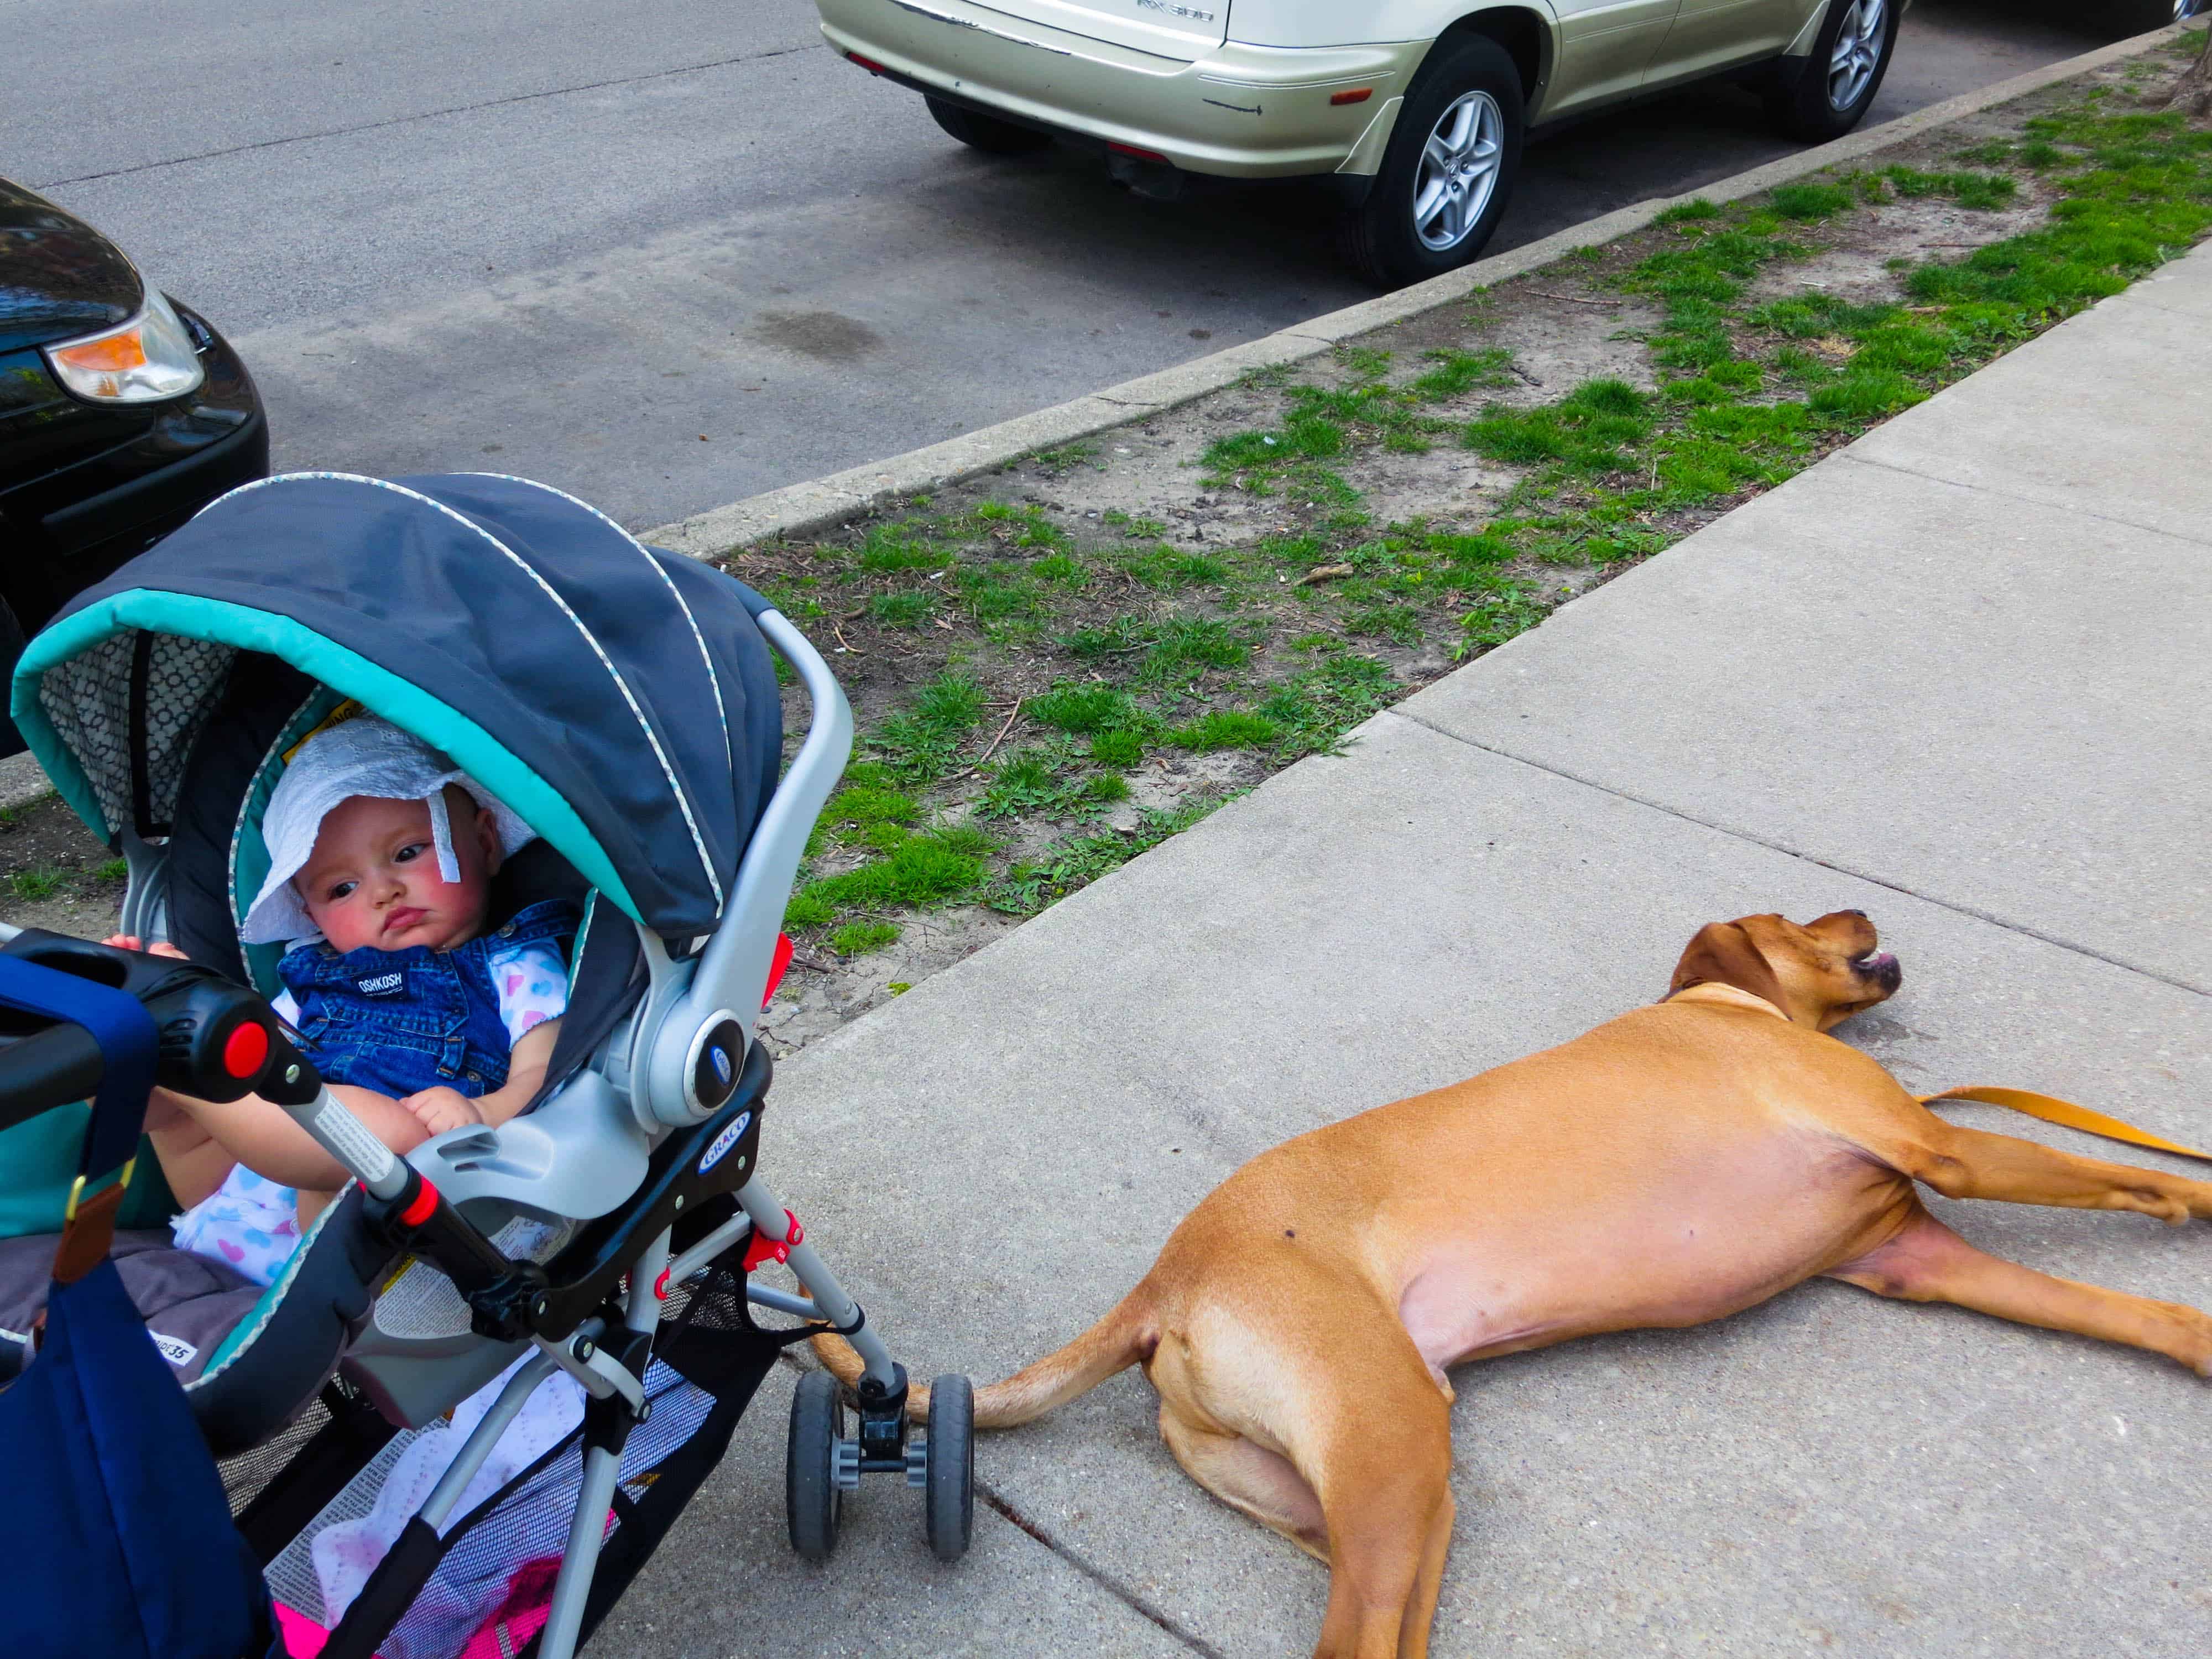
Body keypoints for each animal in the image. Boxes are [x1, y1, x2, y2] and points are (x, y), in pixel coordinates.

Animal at [818, 916, 2212, 1655]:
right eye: (1805, 919)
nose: (1864, 914)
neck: (1733, 1008)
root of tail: (1163, 1276)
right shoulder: (1941, 1145)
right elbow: (2133, 1173)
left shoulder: (1910, 1253)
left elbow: (2133, 1309)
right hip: (1393, 1455)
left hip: (1371, 1502)